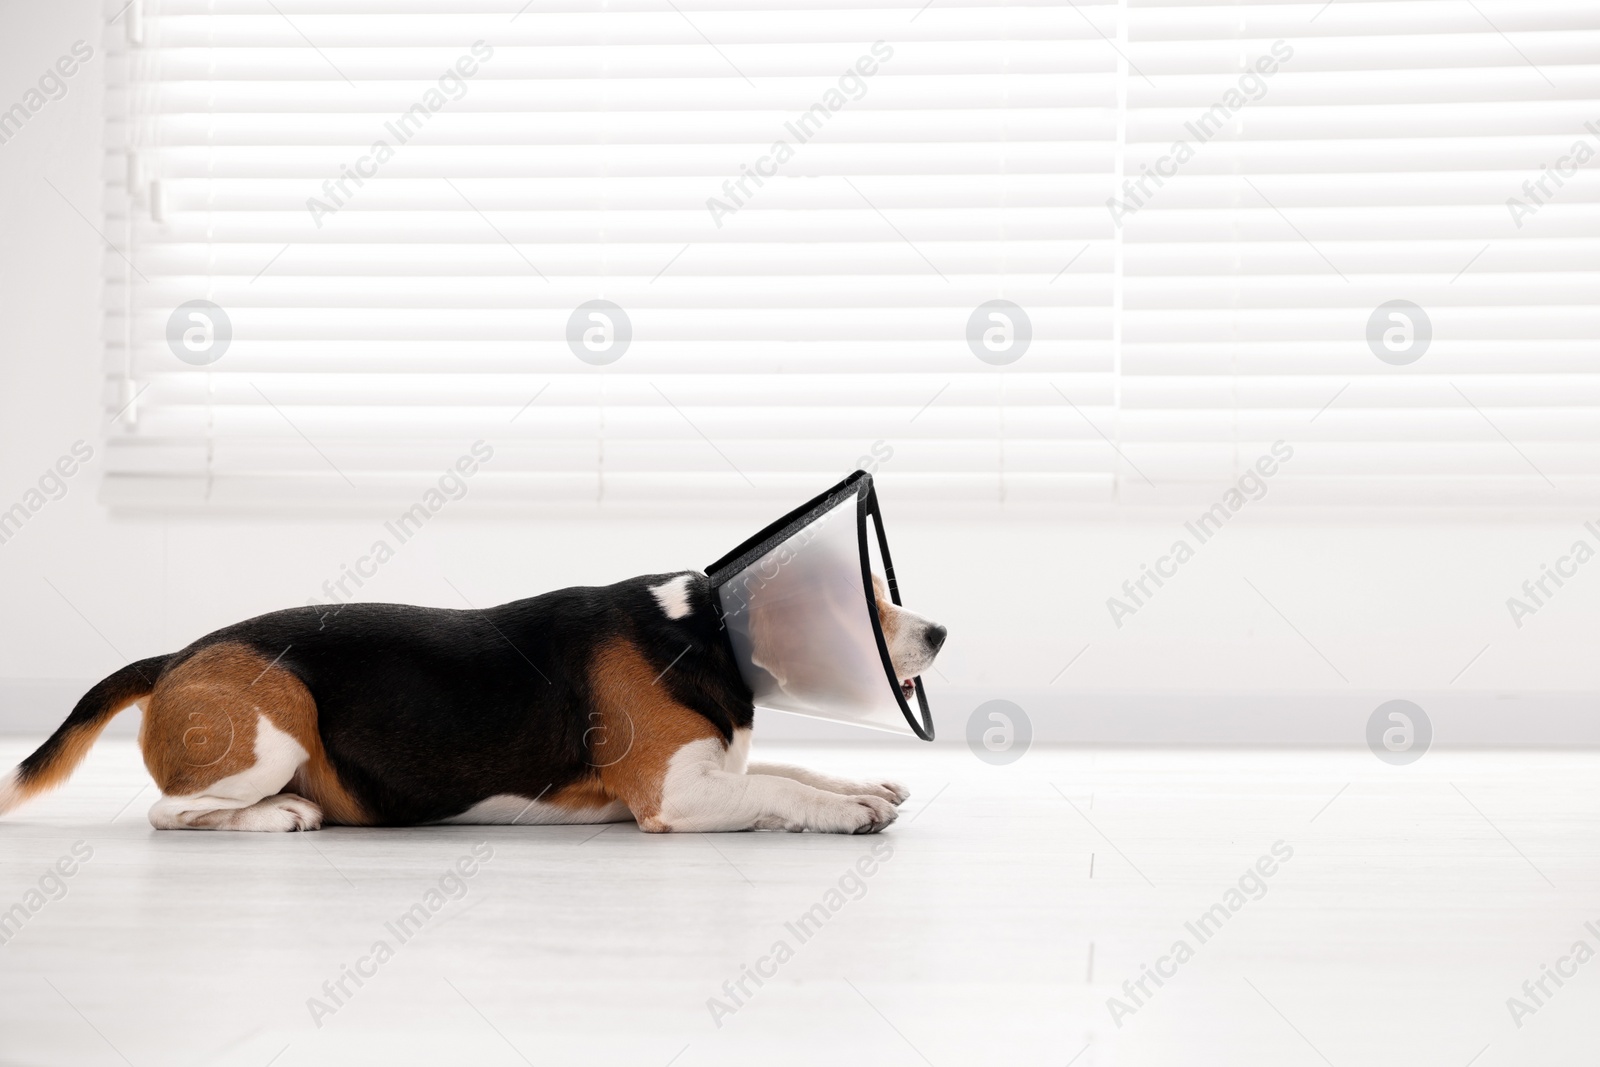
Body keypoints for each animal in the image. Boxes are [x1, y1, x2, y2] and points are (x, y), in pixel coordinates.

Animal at [0, 572, 940, 838]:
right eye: (854, 605)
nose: (939, 632)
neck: (697, 630)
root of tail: (176, 656)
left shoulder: (714, 766)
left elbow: (790, 766)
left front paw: (864, 785)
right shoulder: (677, 794)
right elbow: (780, 787)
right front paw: (850, 810)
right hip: (273, 727)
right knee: (171, 812)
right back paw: (279, 816)